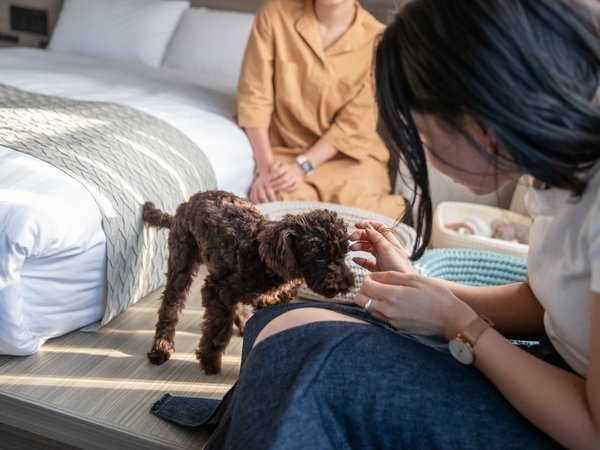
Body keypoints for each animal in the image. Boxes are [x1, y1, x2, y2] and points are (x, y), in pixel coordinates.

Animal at [143, 189, 354, 372]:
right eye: (318, 257)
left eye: (343, 253)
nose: (346, 284)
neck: (265, 260)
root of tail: (187, 202)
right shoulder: (215, 289)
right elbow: (219, 330)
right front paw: (210, 361)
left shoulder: (274, 300)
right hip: (182, 262)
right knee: (170, 306)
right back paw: (161, 347)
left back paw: (244, 321)